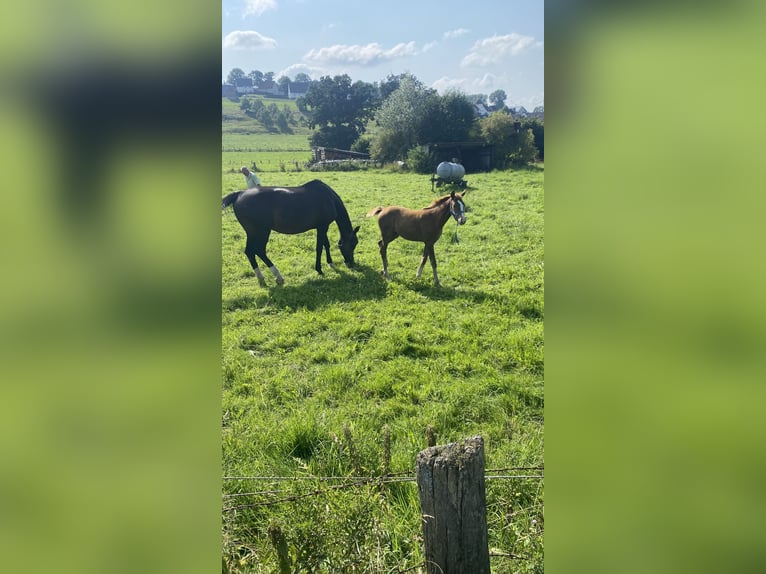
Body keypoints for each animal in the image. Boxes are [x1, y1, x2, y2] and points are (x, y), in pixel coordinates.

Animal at [224, 180, 362, 286]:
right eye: (353, 244)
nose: (351, 263)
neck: (329, 198)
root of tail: (239, 193)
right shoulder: (322, 227)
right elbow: (319, 247)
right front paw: (319, 269)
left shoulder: (322, 227)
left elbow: (325, 245)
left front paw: (331, 264)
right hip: (261, 231)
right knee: (258, 251)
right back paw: (278, 276)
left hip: (253, 233)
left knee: (250, 252)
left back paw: (262, 278)